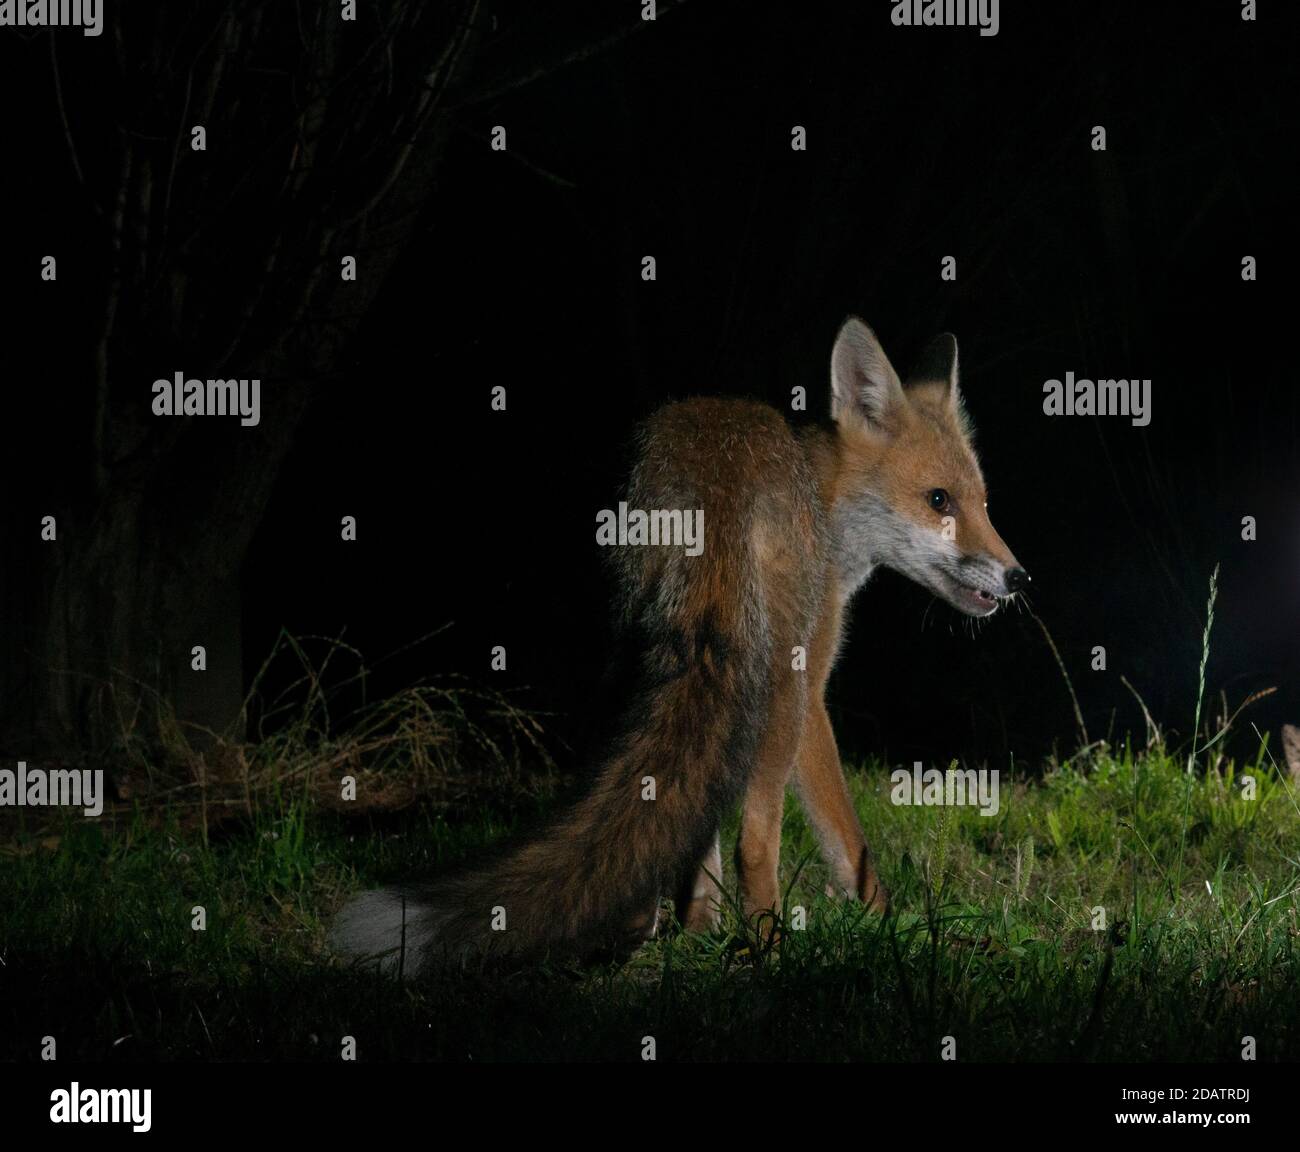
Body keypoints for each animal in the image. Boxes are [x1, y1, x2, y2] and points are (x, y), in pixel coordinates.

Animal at [332, 319, 1024, 977]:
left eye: (986, 502)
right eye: (939, 500)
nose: (1019, 578)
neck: (825, 498)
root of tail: (714, 481)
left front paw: (701, 927)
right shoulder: (812, 680)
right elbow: (846, 837)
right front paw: (889, 924)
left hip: (634, 651)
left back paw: (654, 934)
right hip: (773, 688)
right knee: (752, 842)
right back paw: (768, 947)